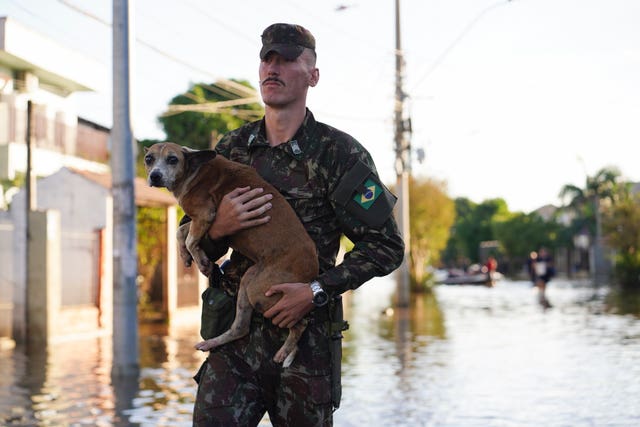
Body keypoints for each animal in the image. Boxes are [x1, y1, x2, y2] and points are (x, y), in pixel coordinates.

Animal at [142, 142, 318, 366]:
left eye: (172, 159)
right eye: (149, 159)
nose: (155, 176)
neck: (193, 170)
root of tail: (312, 267)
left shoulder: (204, 215)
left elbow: (189, 238)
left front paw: (201, 261)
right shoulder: (207, 220)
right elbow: (180, 232)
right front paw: (185, 255)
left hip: (263, 293)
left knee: (300, 323)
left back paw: (285, 351)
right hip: (249, 281)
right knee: (240, 328)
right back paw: (212, 342)